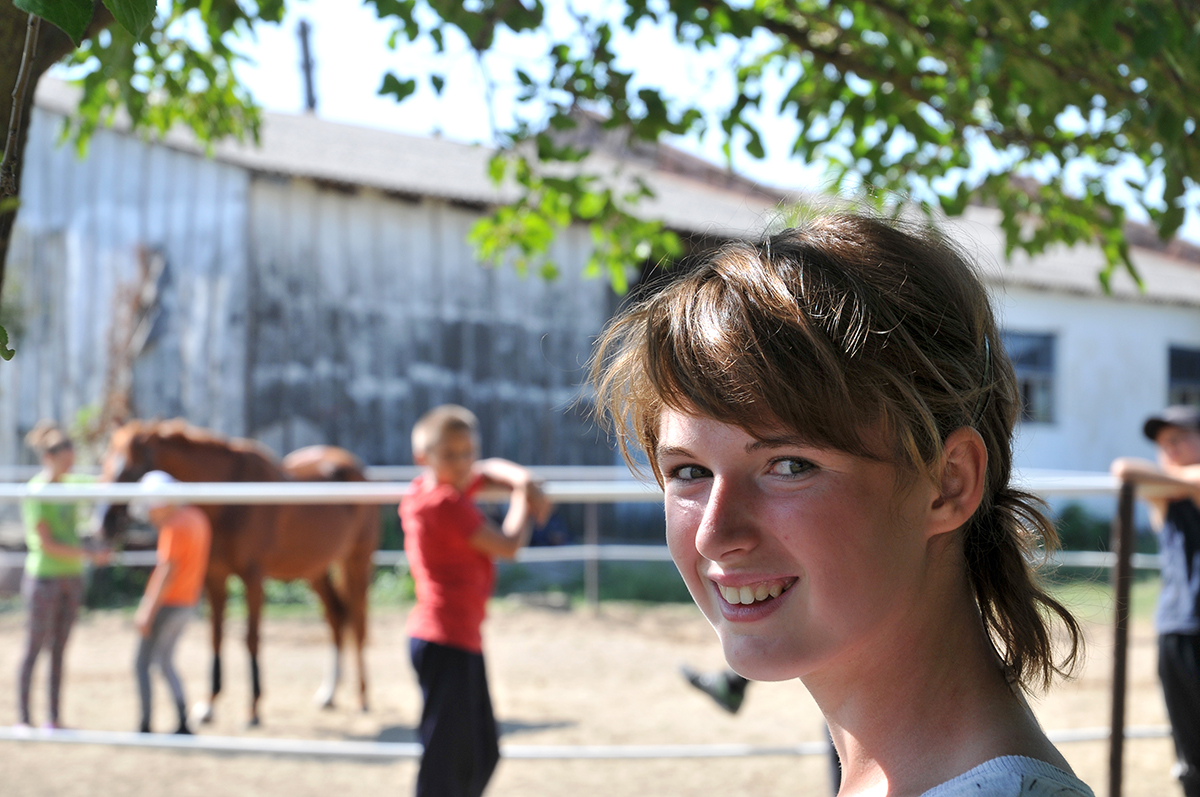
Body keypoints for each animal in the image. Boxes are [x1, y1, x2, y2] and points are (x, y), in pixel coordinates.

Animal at [100, 420, 379, 724]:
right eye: (105, 464)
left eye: (129, 470)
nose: (103, 524)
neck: (229, 499)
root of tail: (353, 466)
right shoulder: (215, 578)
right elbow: (216, 636)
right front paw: (208, 705)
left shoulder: (253, 579)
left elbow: (251, 638)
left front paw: (253, 708)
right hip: (315, 571)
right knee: (337, 618)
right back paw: (328, 693)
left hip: (356, 561)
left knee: (358, 623)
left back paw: (363, 697)